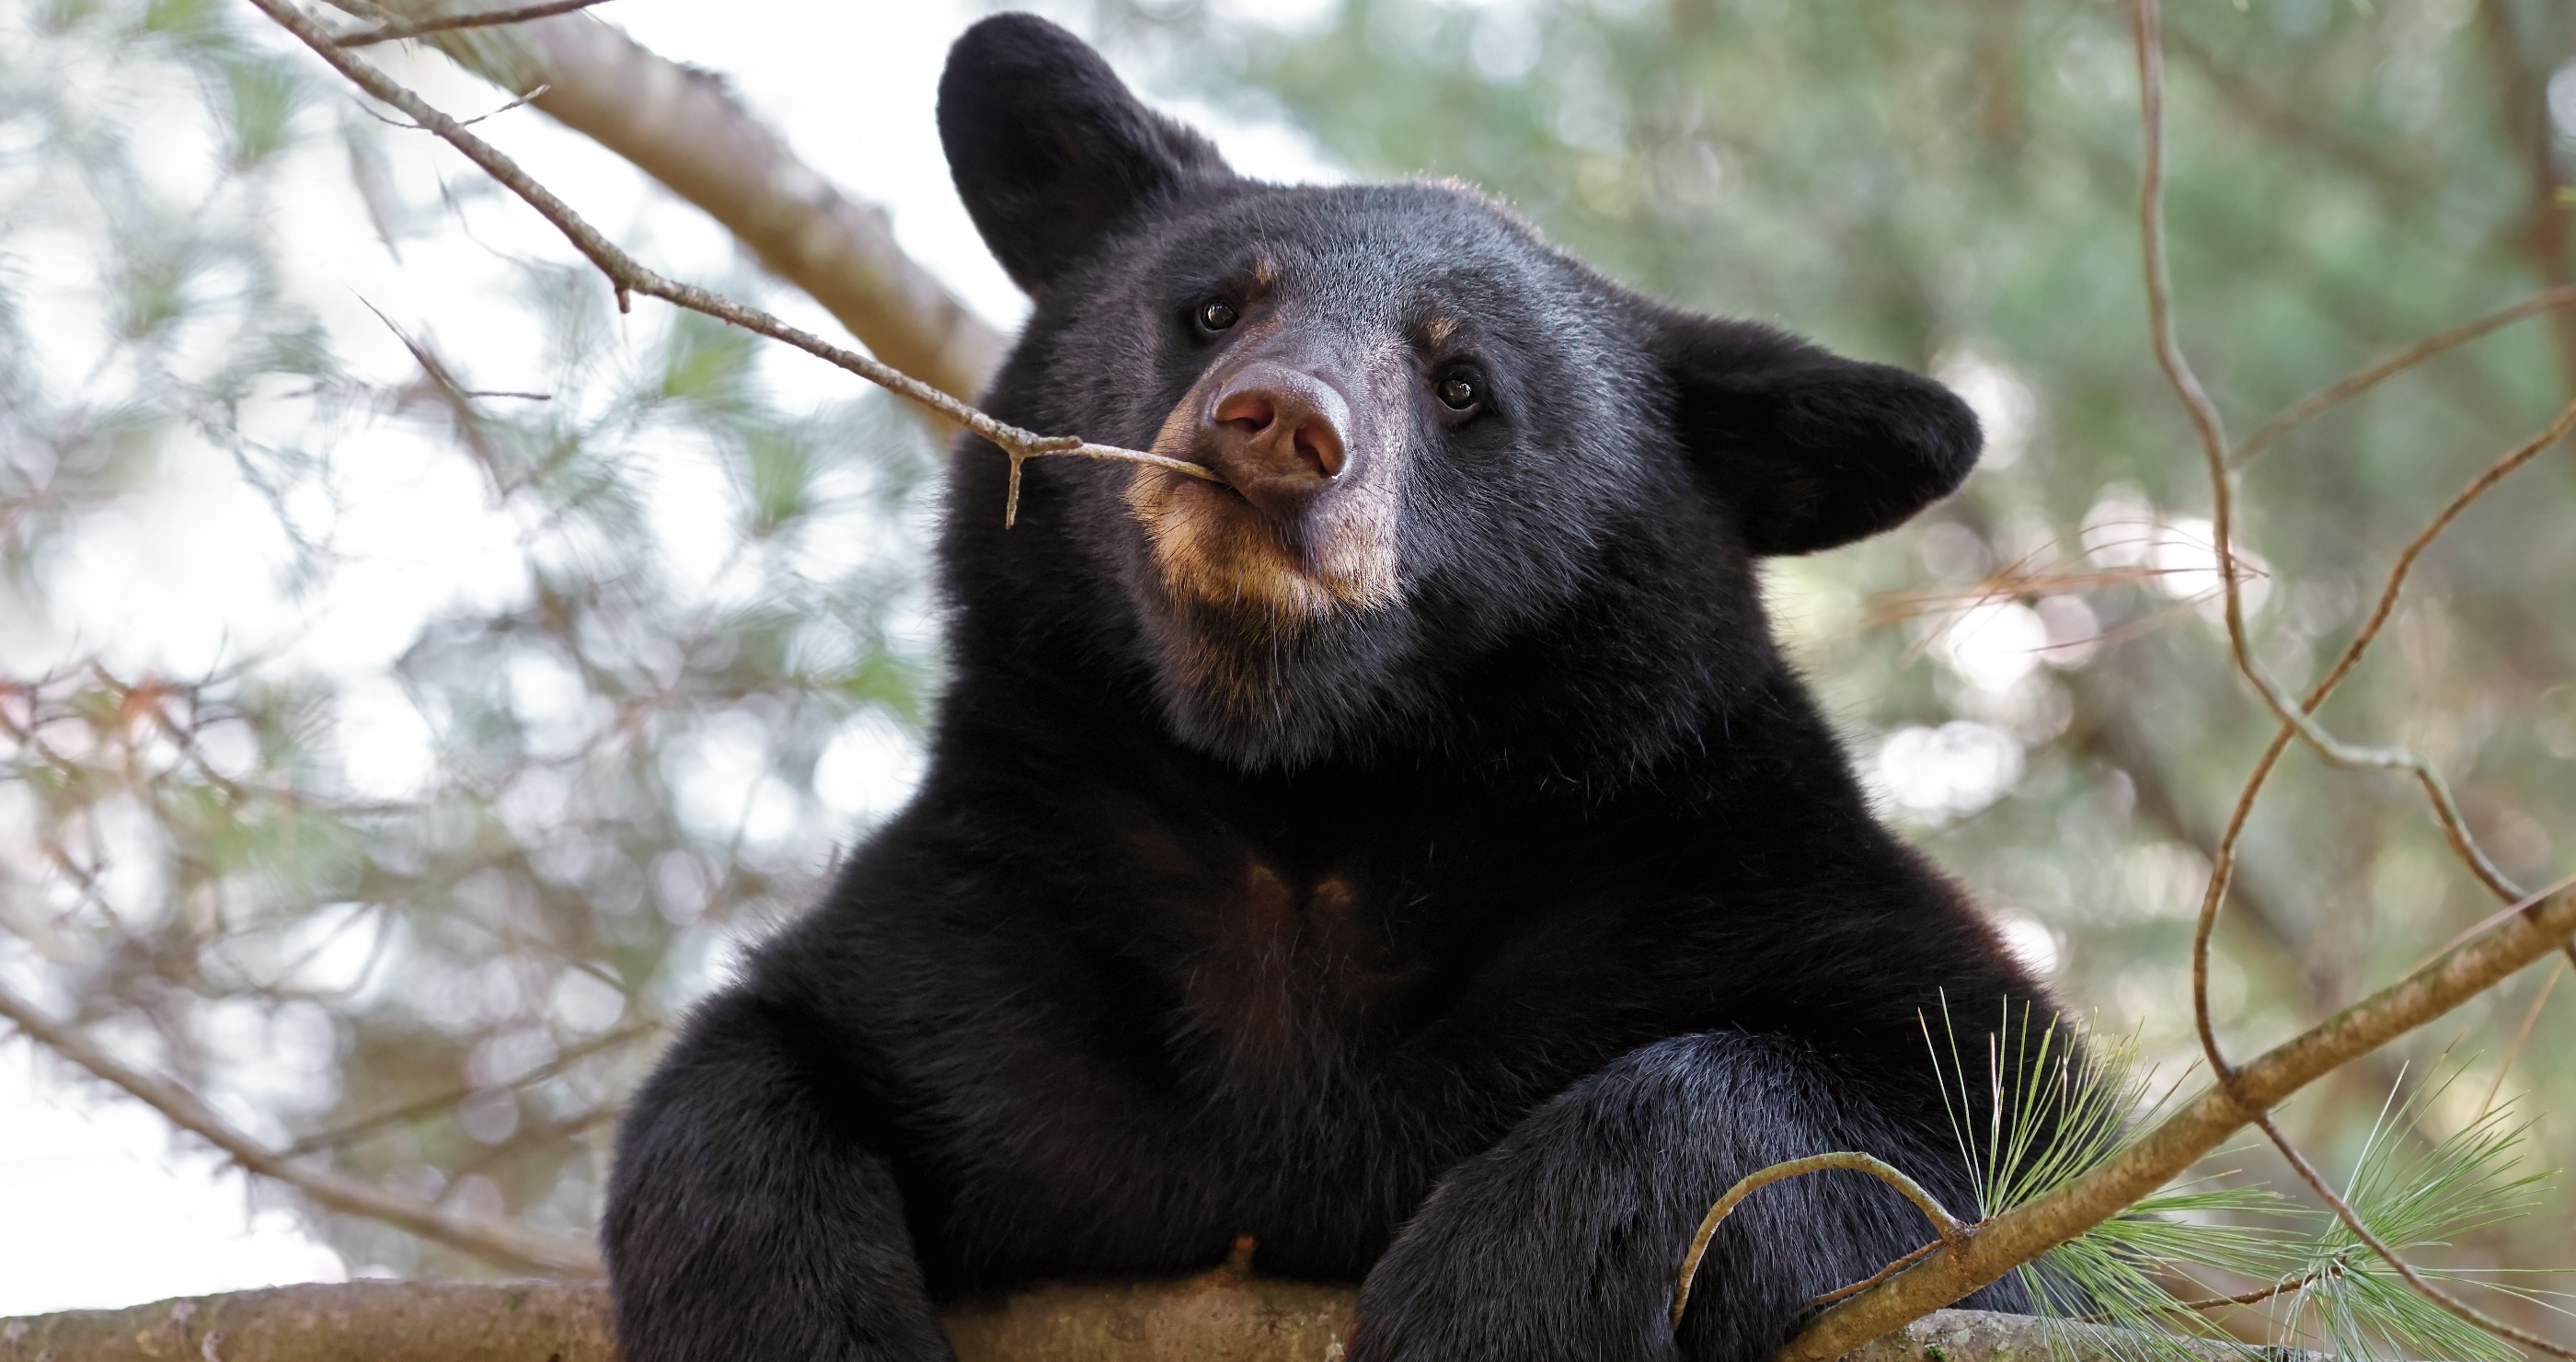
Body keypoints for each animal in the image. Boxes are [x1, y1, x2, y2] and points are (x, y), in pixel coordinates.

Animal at [600, 13, 2049, 1362]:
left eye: (1462, 382)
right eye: (1215, 306)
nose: (1278, 423)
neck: (1305, 799)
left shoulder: (1706, 861)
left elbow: (1965, 1142)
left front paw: (1500, 1293)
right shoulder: (991, 920)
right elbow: (756, 1056)